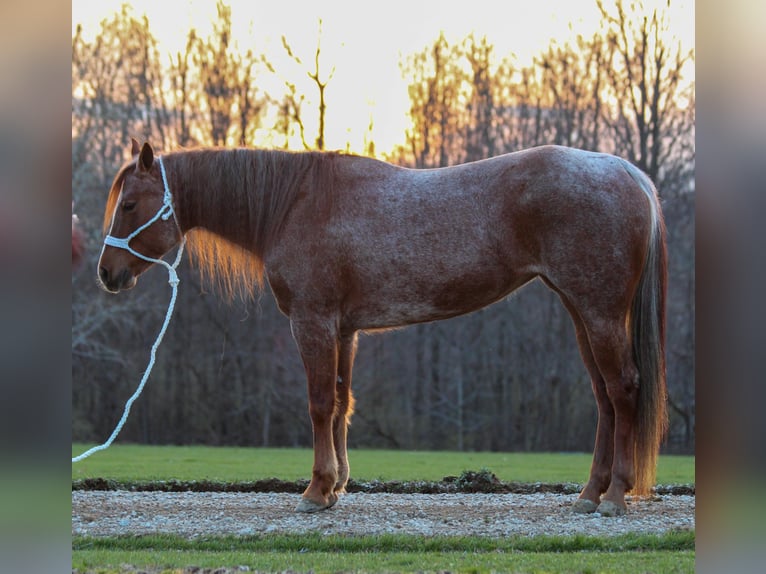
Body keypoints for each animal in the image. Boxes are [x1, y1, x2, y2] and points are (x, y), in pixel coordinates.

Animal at [100, 138, 664, 516]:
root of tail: (627, 174)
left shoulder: (313, 322)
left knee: (622, 389)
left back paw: (615, 496)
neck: (294, 204)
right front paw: (336, 487)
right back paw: (589, 495)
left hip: (599, 312)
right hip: (580, 310)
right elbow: (342, 403)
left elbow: (319, 403)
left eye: (129, 204)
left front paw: (315, 491)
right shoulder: (345, 330)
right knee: (604, 397)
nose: (107, 274)